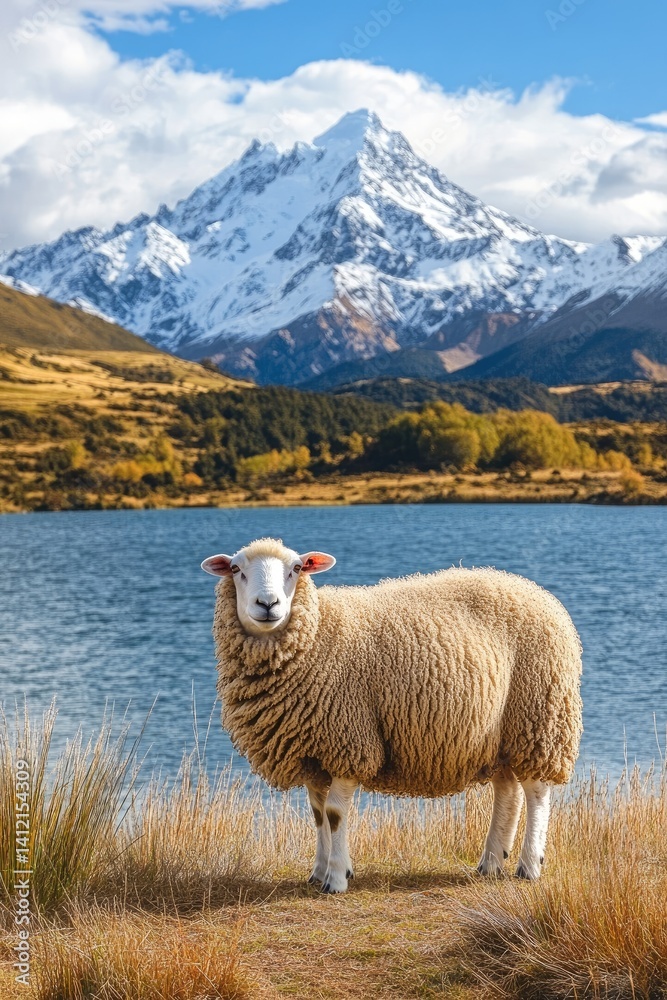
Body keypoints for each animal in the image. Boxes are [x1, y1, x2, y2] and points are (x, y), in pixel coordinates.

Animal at [202, 536, 583, 894]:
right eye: (236, 569)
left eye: (296, 568)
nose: (268, 604)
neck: (319, 633)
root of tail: (533, 589)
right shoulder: (313, 750)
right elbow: (318, 814)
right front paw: (318, 872)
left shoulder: (350, 741)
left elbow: (335, 814)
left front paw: (336, 879)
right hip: (499, 733)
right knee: (507, 791)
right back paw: (491, 861)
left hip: (539, 716)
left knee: (536, 792)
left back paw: (529, 865)